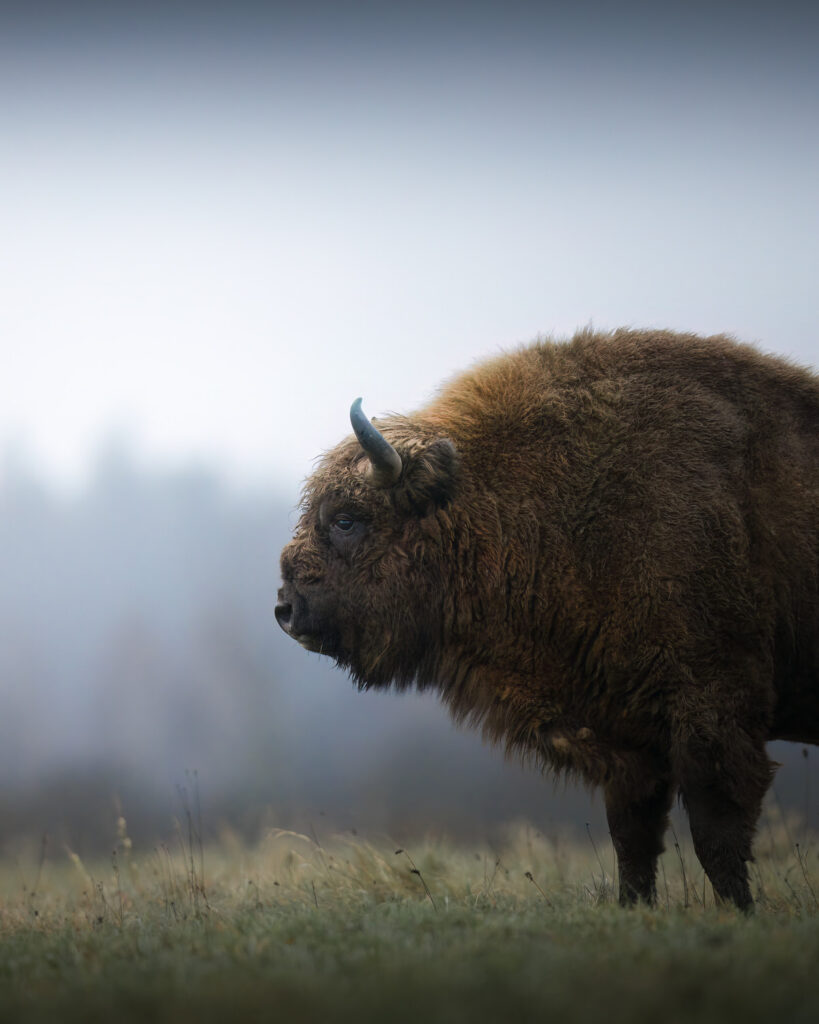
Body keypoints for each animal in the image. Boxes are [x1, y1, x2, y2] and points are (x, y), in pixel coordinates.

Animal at [276, 328, 818, 910]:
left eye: (346, 520)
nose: (285, 608)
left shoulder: (713, 710)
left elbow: (716, 837)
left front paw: (738, 912)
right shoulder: (626, 735)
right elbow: (633, 839)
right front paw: (635, 909)